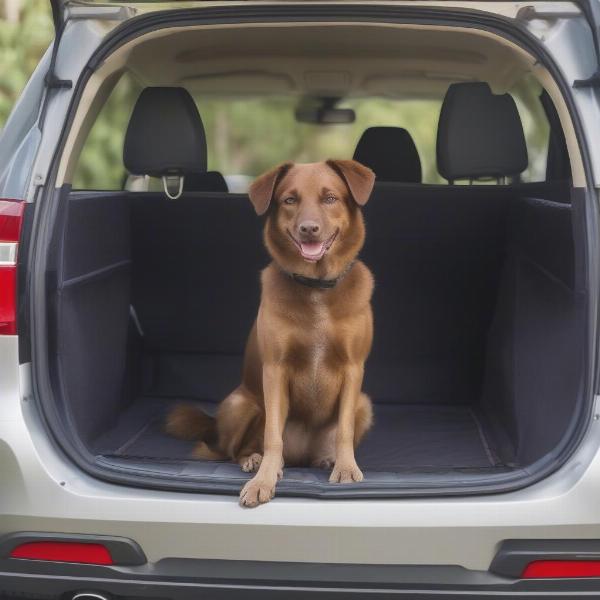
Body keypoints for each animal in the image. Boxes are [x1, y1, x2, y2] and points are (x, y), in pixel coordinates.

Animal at [166, 159, 376, 506]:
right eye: (290, 200)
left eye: (330, 198)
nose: (308, 228)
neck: (316, 287)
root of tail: (301, 456)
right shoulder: (275, 370)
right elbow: (272, 435)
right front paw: (263, 480)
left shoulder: (353, 368)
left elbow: (344, 429)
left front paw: (346, 468)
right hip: (241, 405)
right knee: (233, 450)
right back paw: (253, 460)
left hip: (364, 403)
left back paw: (326, 459)